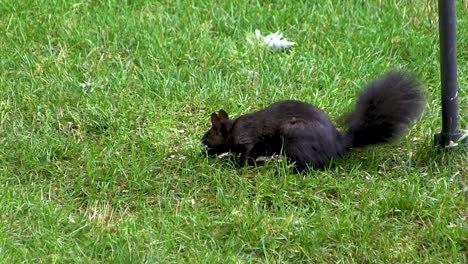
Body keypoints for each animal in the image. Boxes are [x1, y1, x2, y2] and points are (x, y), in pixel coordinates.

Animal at [199, 70, 426, 169]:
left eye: (208, 136)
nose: (201, 148)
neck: (232, 129)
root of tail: (338, 144)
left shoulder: (248, 139)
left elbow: (247, 154)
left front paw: (236, 163)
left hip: (294, 135)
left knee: (309, 164)